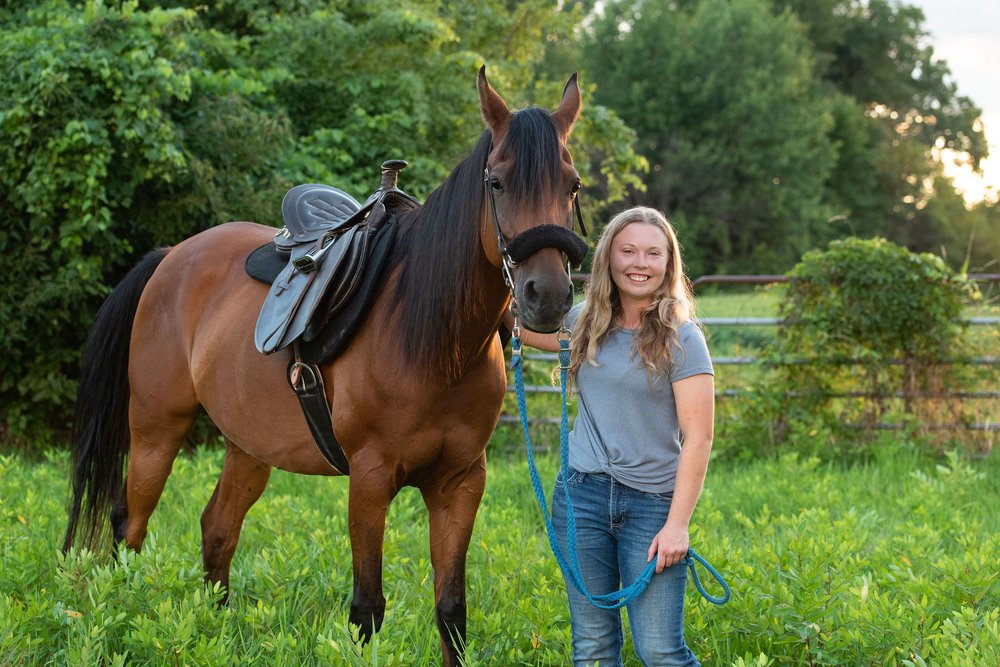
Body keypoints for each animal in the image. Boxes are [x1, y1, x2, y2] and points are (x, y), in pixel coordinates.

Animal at [62, 66, 584, 664]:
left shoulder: (460, 485)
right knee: (130, 524)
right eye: (496, 183)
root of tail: (171, 257)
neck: (431, 340)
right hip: (155, 429)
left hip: (247, 445)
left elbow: (452, 612)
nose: (547, 295)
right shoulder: (370, 479)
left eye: (572, 186)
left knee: (218, 529)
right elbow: (367, 611)